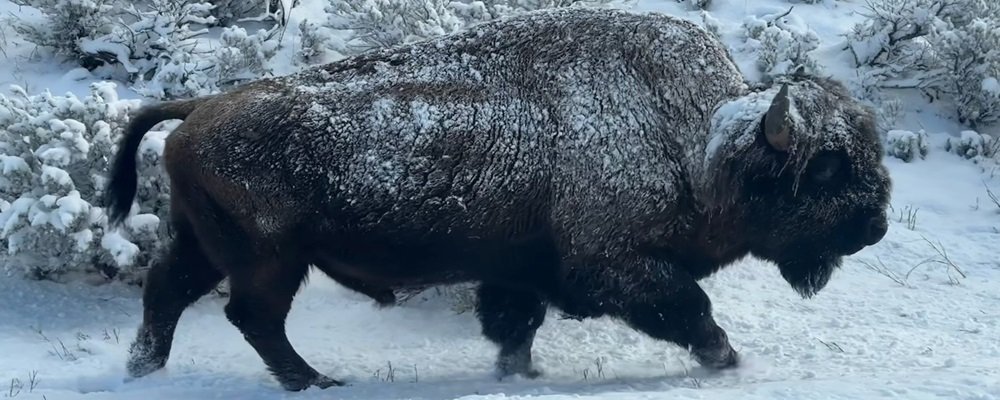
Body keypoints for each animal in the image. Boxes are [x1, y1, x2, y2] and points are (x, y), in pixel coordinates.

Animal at [107, 7, 892, 392]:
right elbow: (690, 310)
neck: (697, 140)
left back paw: (147, 371)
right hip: (269, 259)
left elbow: (515, 327)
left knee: (168, 293)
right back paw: (318, 382)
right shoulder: (621, 268)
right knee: (252, 316)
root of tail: (201, 106)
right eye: (827, 168)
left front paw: (523, 375)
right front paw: (728, 362)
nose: (875, 225)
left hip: (207, 245)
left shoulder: (519, 273)